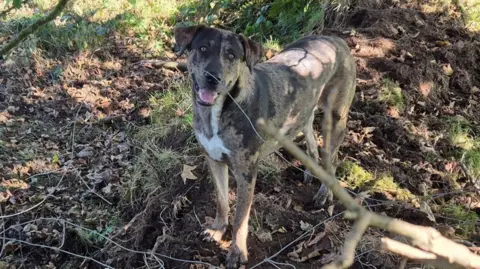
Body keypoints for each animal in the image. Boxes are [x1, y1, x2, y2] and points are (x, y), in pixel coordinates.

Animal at [174, 24, 354, 266]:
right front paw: (217, 229)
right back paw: (310, 169)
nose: (212, 77)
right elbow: (221, 200)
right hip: (304, 110)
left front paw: (237, 253)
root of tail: (336, 39)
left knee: (332, 158)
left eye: (232, 55)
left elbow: (241, 218)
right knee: (310, 136)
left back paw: (325, 192)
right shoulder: (213, 160)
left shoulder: (246, 173)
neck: (221, 108)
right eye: (202, 48)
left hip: (335, 118)